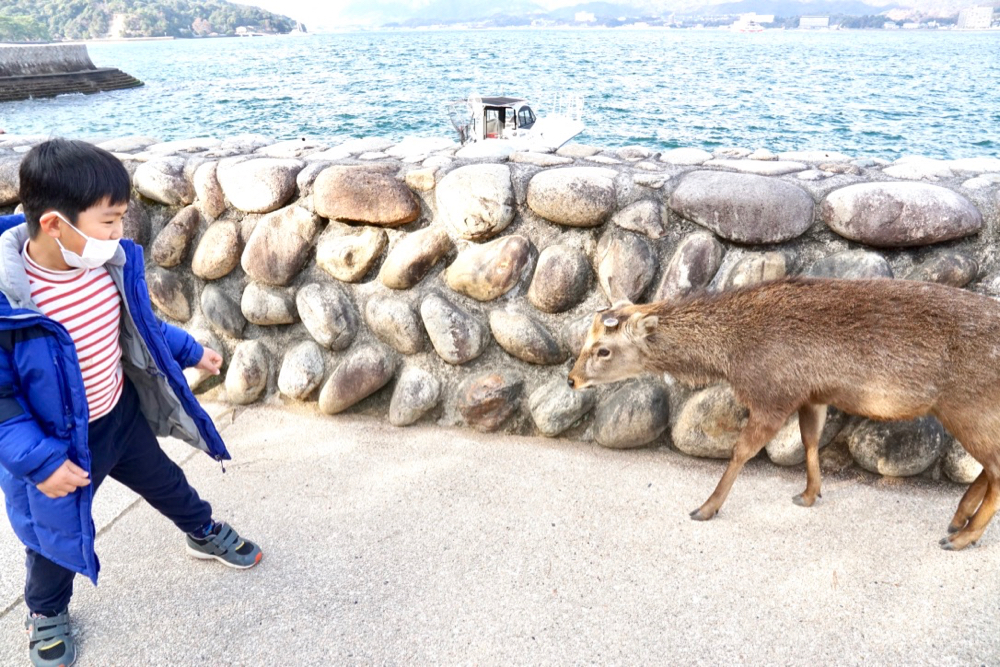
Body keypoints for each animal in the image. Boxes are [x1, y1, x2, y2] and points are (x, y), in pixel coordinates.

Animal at [568, 276, 1000, 552]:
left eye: (603, 350)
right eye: (586, 339)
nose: (571, 379)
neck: (733, 357)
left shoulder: (772, 394)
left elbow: (741, 451)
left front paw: (705, 508)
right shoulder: (811, 394)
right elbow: (809, 440)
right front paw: (809, 494)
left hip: (968, 404)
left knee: (996, 467)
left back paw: (960, 537)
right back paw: (958, 519)